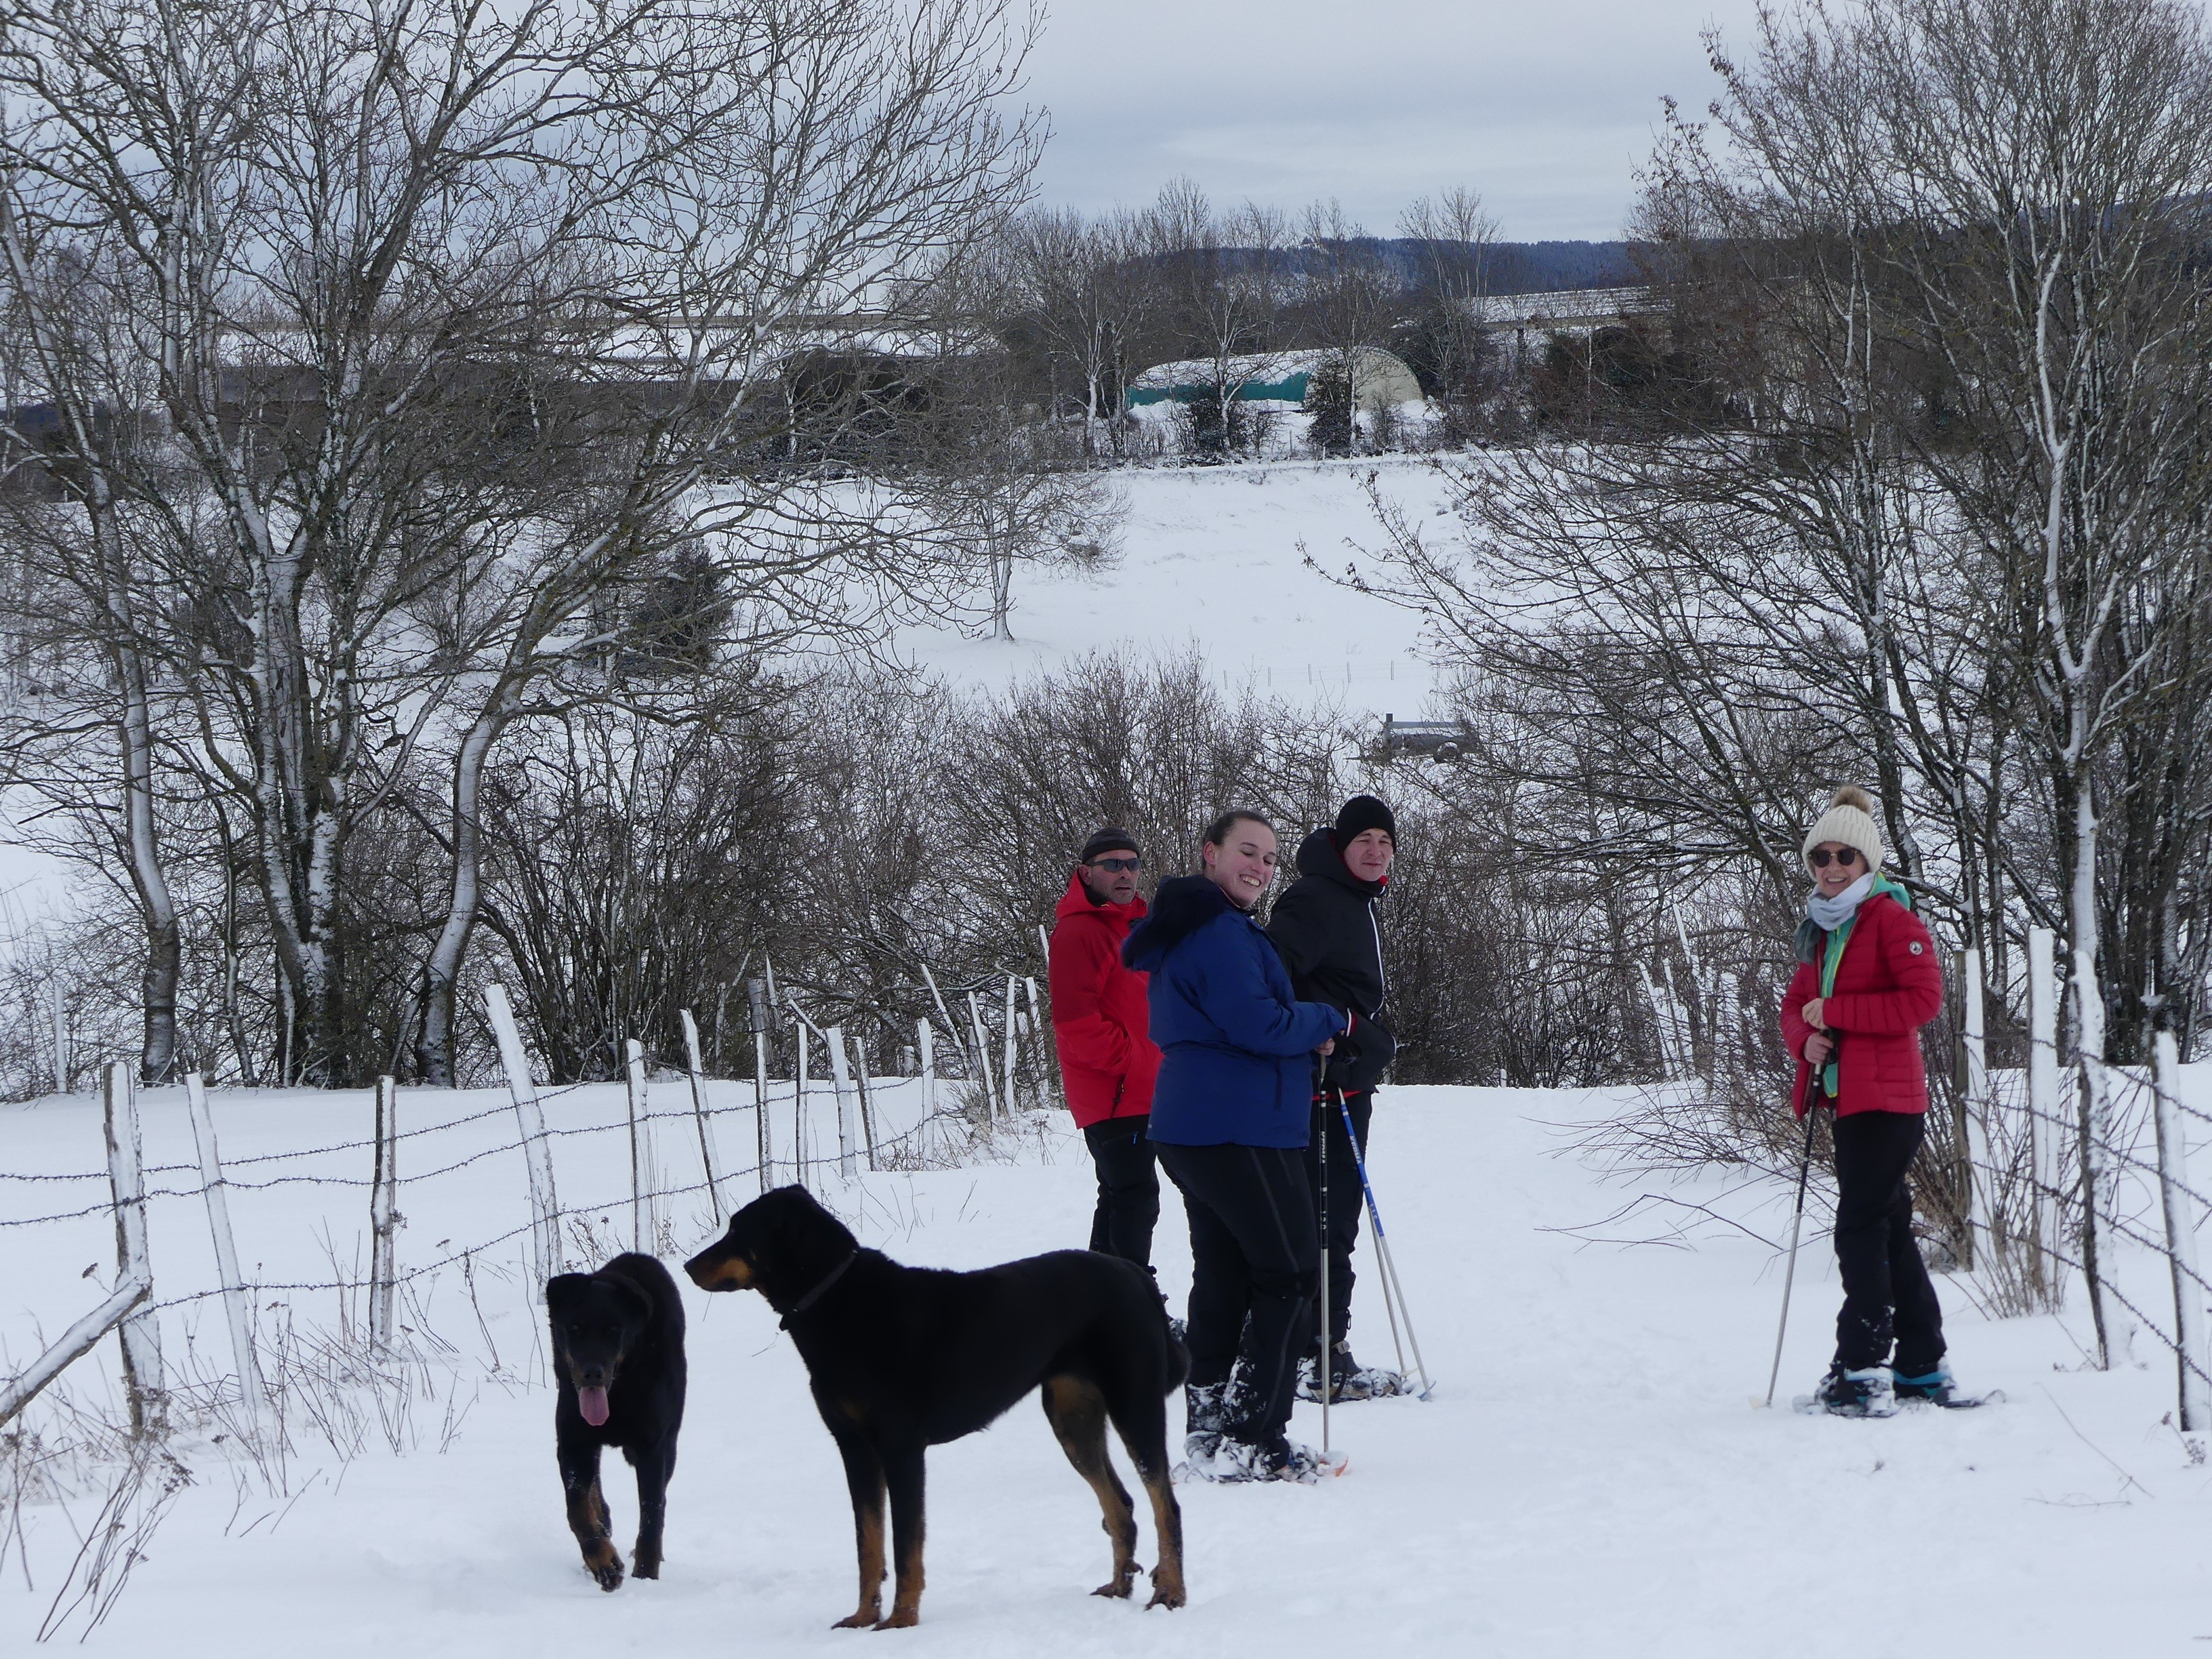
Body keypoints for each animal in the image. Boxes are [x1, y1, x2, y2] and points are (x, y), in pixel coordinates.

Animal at [544, 1256, 681, 1593]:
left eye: (614, 1330)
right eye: (575, 1328)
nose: (592, 1373)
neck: (617, 1395)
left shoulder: (652, 1448)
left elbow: (652, 1515)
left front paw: (646, 1576)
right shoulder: (573, 1441)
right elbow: (577, 1508)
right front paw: (604, 1564)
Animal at [685, 1185, 1194, 1628]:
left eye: (739, 1231)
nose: (688, 1267)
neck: (836, 1303)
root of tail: (1136, 1275)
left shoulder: (901, 1449)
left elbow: (906, 1544)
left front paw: (901, 1621)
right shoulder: (854, 1448)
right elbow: (868, 1543)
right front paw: (862, 1618)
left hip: (1135, 1404)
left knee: (1164, 1504)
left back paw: (1171, 1592)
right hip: (1074, 1421)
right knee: (1121, 1504)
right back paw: (1119, 1587)